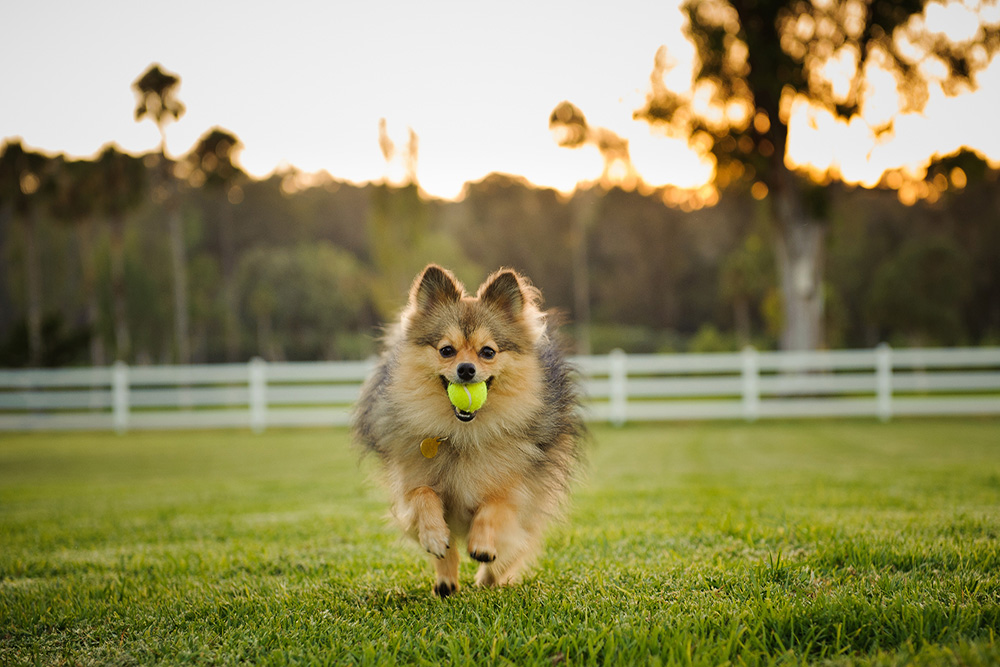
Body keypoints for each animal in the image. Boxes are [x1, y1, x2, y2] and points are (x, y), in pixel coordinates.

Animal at [354, 264, 584, 596]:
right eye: (446, 350)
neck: (462, 434)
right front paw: (434, 536)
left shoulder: (514, 491)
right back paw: (446, 582)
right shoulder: (411, 484)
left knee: (511, 553)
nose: (466, 369)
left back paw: (490, 578)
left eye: (488, 352)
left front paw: (482, 545)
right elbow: (423, 496)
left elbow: (494, 506)